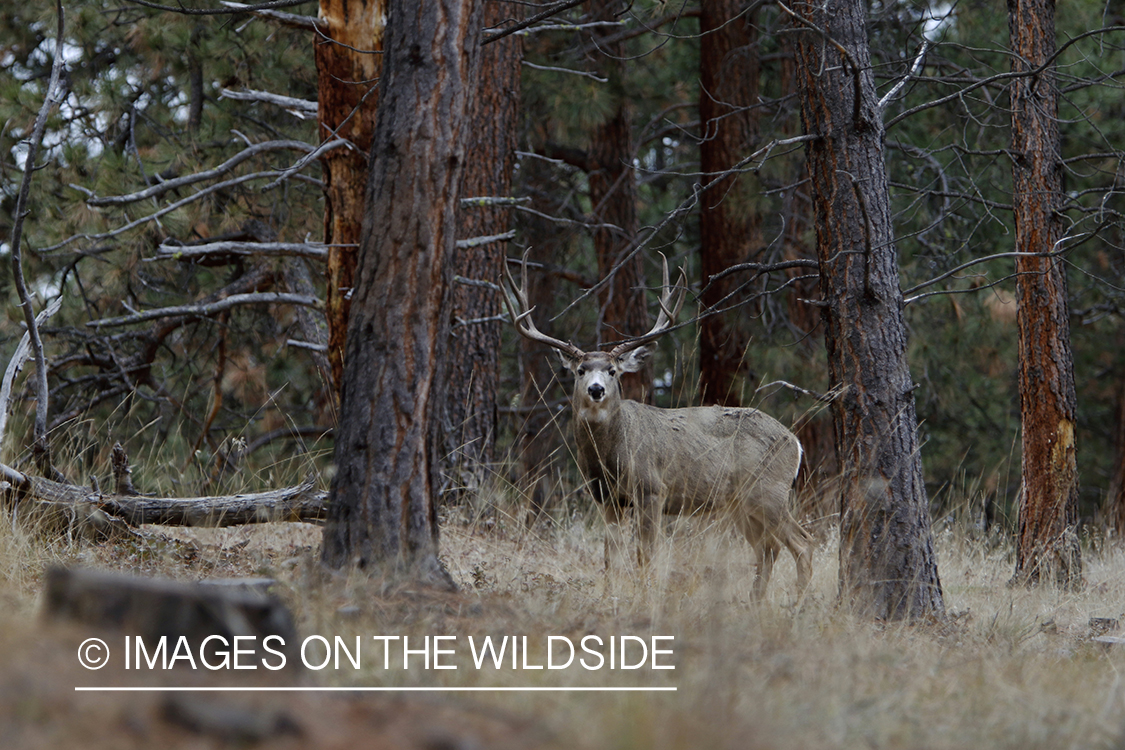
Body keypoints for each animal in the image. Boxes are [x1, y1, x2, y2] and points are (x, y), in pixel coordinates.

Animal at [506, 255, 814, 602]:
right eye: (581, 370)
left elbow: (645, 553)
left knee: (802, 542)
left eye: (612, 370)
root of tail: (795, 442)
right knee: (767, 547)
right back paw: (755, 601)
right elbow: (610, 556)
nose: (596, 390)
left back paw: (796, 602)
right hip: (741, 503)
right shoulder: (606, 498)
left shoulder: (651, 489)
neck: (611, 456)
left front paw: (645, 595)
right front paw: (609, 596)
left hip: (769, 490)